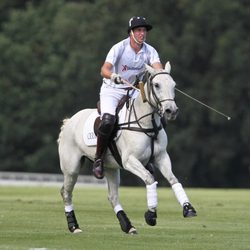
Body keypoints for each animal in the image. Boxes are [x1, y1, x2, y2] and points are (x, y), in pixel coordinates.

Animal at [57, 62, 196, 234]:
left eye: (174, 85)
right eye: (156, 85)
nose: (172, 111)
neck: (146, 123)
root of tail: (69, 122)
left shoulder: (161, 156)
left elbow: (172, 179)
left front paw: (188, 208)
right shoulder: (129, 160)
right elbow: (149, 178)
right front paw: (151, 215)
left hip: (111, 168)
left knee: (112, 196)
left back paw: (128, 226)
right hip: (71, 167)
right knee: (66, 192)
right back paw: (74, 226)